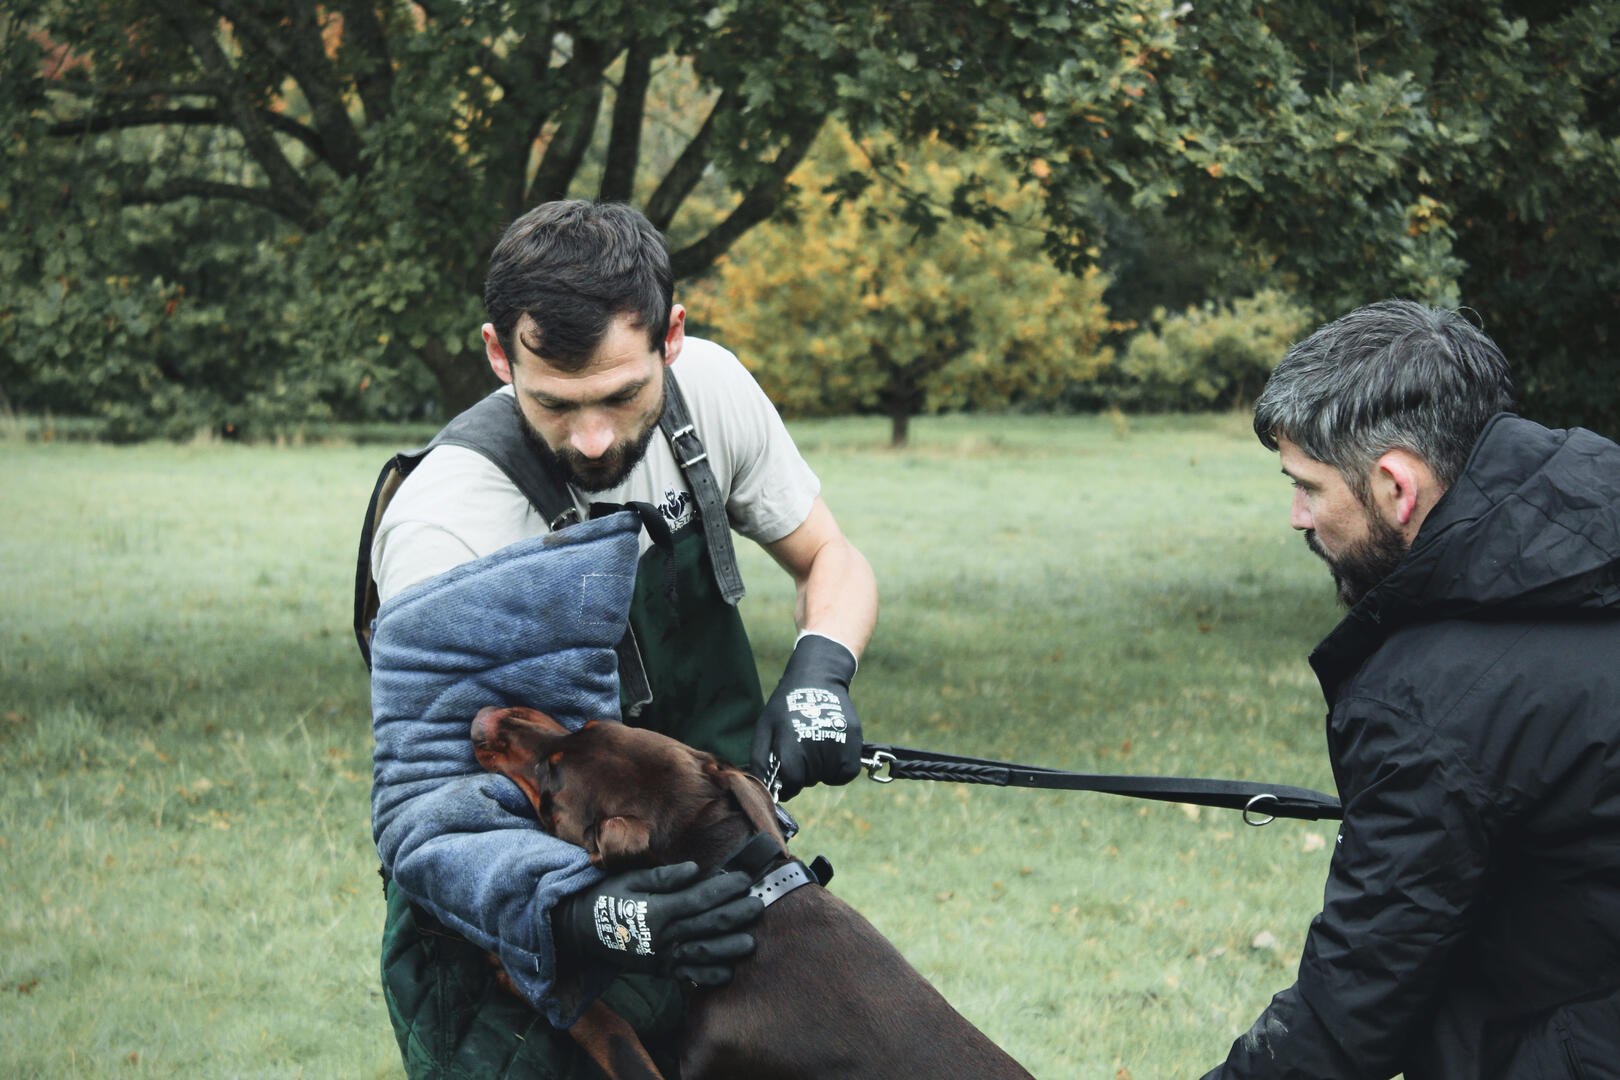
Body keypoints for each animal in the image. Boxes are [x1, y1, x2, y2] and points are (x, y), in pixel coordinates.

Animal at [466, 705, 1036, 1080]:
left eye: (550, 786)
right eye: (585, 726)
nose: (483, 720)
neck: (754, 898)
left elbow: (611, 1031)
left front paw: (508, 970)